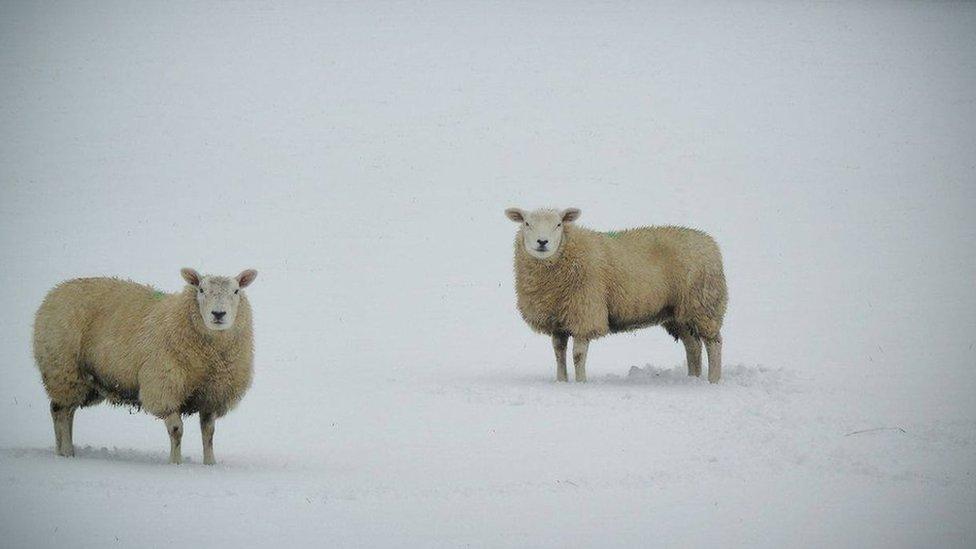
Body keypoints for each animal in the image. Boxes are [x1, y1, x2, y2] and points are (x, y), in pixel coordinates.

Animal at [33, 266, 258, 462]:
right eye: (201, 290)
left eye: (236, 291)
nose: (218, 314)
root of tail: (54, 292)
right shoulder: (164, 389)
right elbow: (176, 430)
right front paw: (176, 463)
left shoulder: (212, 395)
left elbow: (209, 433)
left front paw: (210, 464)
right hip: (63, 370)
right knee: (60, 411)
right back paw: (66, 452)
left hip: (85, 381)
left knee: (66, 410)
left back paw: (64, 451)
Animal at [504, 208, 724, 384]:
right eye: (527, 223)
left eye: (558, 224)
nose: (542, 242)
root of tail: (709, 241)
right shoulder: (558, 320)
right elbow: (559, 354)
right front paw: (561, 381)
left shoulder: (585, 314)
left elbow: (578, 355)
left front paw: (581, 382)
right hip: (679, 313)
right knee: (693, 346)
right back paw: (693, 378)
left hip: (704, 303)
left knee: (713, 343)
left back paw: (713, 380)